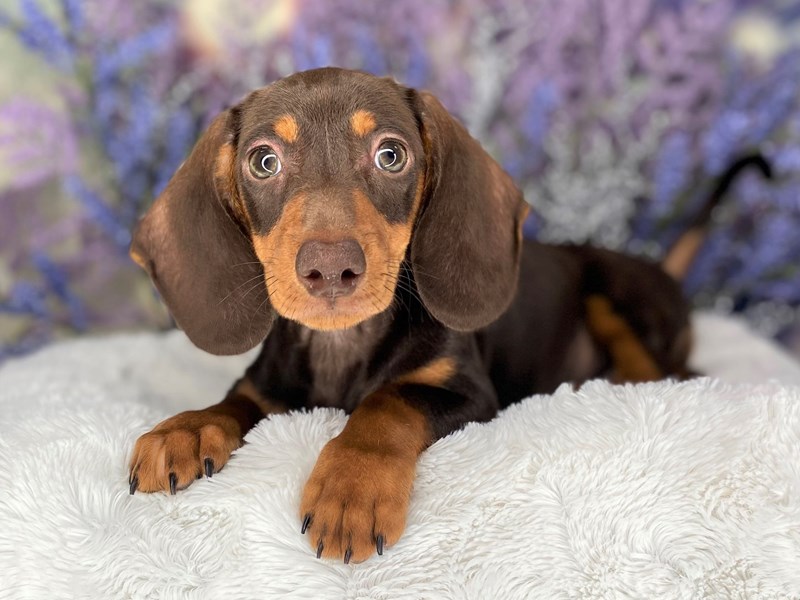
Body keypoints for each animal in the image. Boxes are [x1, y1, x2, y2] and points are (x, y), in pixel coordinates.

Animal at [128, 67, 772, 564]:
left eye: (391, 154)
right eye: (264, 161)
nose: (331, 269)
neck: (345, 345)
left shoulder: (467, 391)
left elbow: (387, 403)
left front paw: (351, 487)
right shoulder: (269, 390)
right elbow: (233, 402)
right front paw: (185, 428)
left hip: (611, 292)